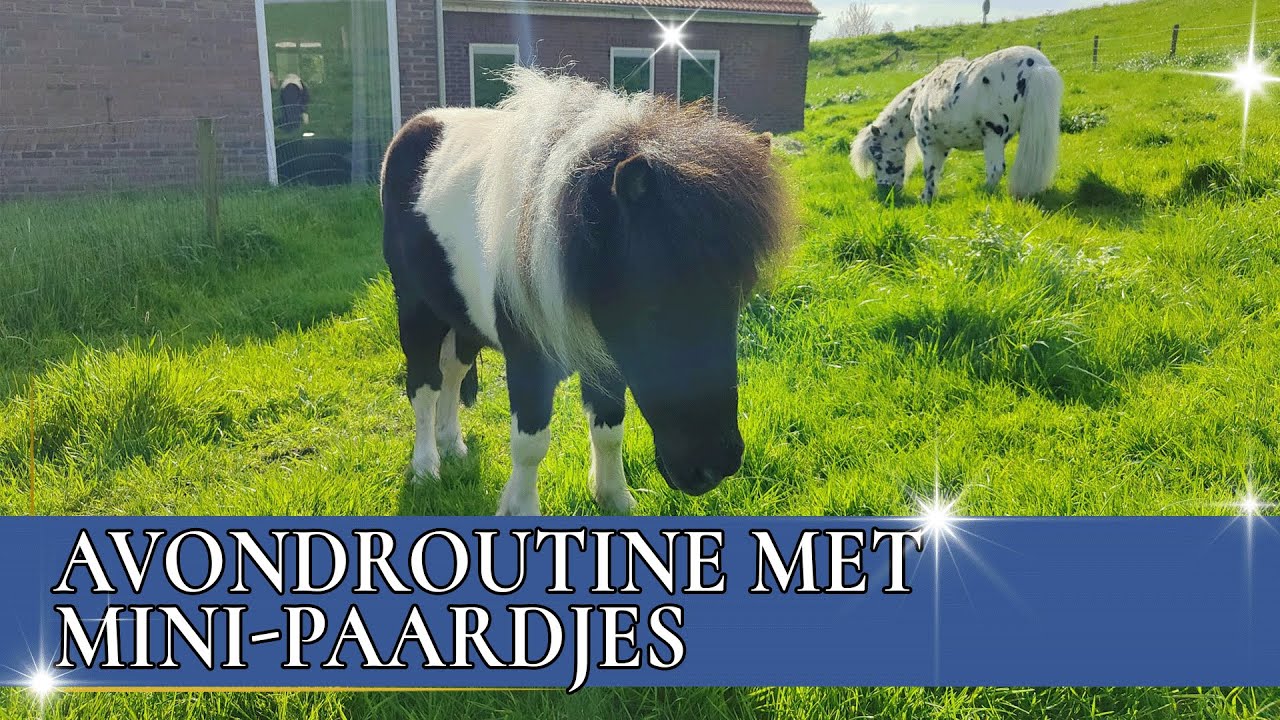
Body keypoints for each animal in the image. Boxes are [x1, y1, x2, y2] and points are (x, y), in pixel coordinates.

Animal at [380, 68, 788, 516]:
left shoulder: (606, 359)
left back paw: (452, 444)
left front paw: (614, 497)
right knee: (424, 386)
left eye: (737, 300)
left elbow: (609, 426)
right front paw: (521, 509)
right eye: (653, 306)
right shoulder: (529, 362)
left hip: (461, 313)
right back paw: (426, 467)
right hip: (416, 309)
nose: (713, 466)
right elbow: (530, 444)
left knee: (453, 373)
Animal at [850, 46, 1063, 203]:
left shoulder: (928, 141)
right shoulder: (943, 146)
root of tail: (1036, 65)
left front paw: (925, 199)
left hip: (993, 136)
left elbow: (929, 171)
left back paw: (984, 192)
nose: (885, 190)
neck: (922, 93)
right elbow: (937, 171)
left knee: (995, 169)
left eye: (877, 155)